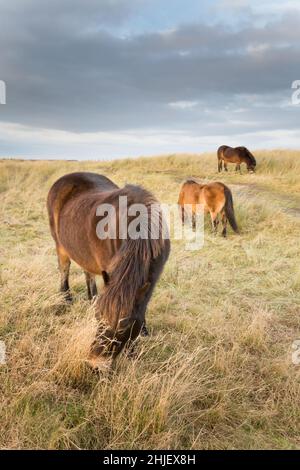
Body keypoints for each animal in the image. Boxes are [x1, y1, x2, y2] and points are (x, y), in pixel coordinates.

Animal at [46, 171, 169, 370]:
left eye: (124, 326)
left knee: (87, 273)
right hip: (60, 245)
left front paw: (142, 332)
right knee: (64, 270)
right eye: (99, 317)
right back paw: (66, 299)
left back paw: (92, 298)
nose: (94, 364)